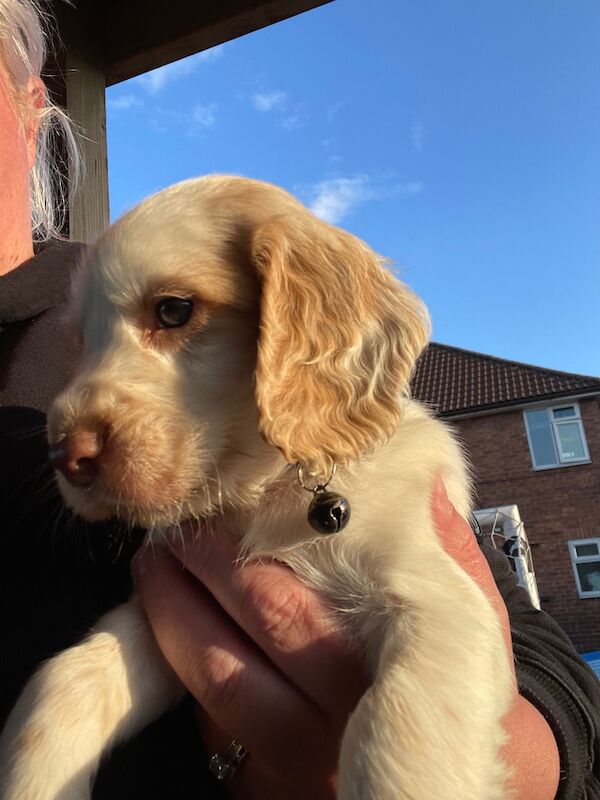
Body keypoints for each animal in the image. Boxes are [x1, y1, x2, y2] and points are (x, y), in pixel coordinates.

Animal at [1, 177, 516, 800]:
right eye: (81, 341)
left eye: (173, 310)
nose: (63, 456)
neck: (263, 493)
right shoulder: (163, 618)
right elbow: (65, 679)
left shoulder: (439, 599)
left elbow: (393, 730)